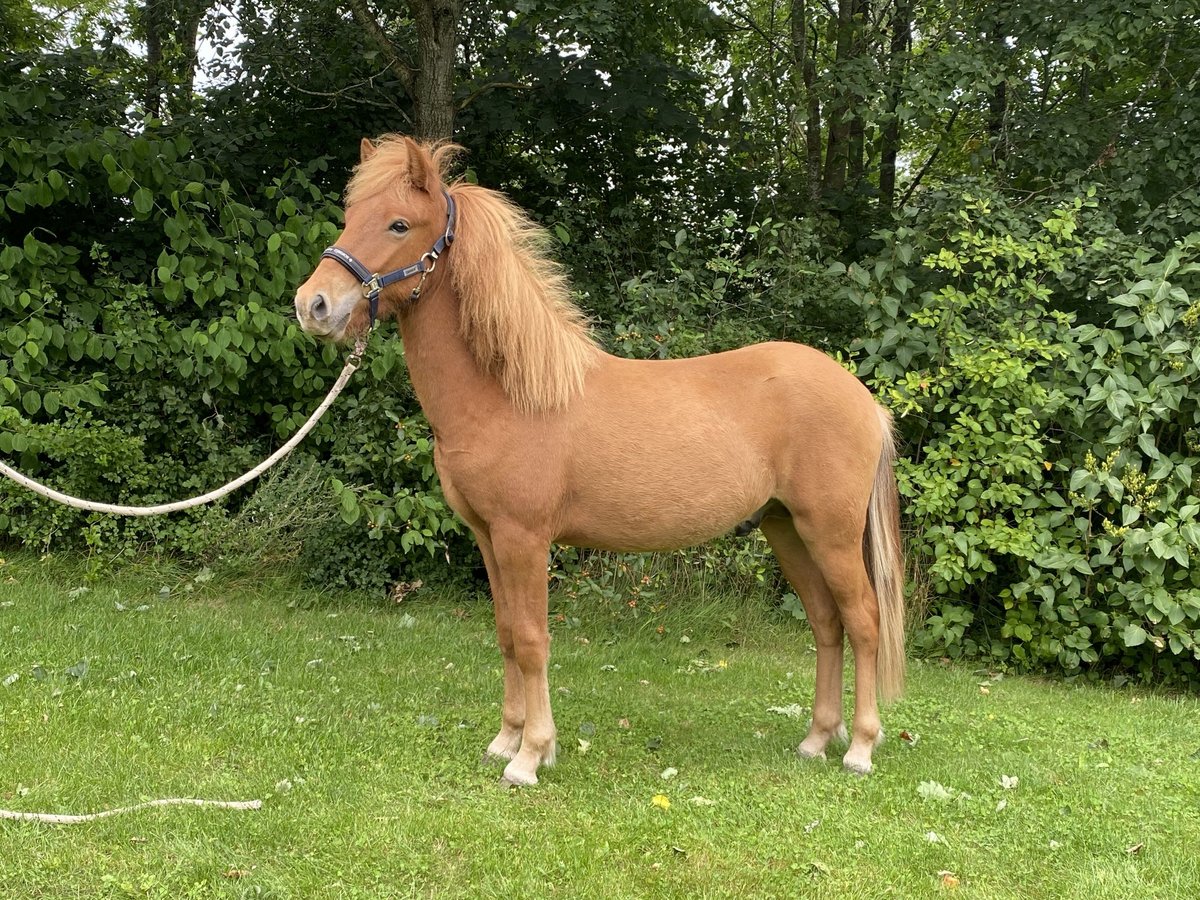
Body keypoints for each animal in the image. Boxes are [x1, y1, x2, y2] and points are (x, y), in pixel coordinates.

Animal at [295, 135, 902, 787]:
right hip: (786, 529)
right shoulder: (488, 538)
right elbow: (506, 635)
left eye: (399, 224)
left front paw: (531, 755)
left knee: (863, 621)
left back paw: (860, 747)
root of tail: (864, 399)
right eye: (350, 214)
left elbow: (532, 639)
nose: (313, 305)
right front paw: (505, 740)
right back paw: (816, 739)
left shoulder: (523, 538)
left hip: (830, 533)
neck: (509, 394)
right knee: (827, 624)